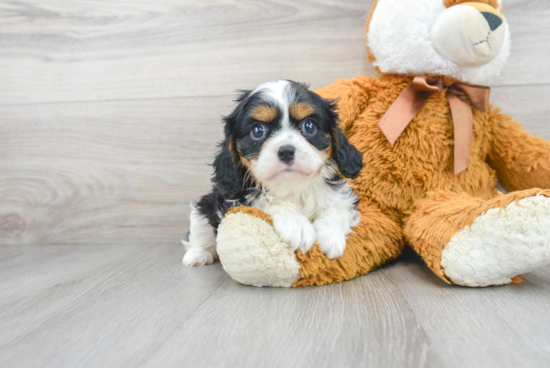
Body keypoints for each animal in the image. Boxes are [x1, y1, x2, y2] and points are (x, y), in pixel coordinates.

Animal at [183, 80, 364, 266]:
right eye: (258, 130)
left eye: (309, 126)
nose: (286, 151)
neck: (292, 185)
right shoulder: (235, 199)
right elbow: (267, 201)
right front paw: (297, 225)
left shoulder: (343, 198)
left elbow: (338, 208)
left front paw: (330, 236)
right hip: (205, 205)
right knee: (200, 229)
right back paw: (197, 254)